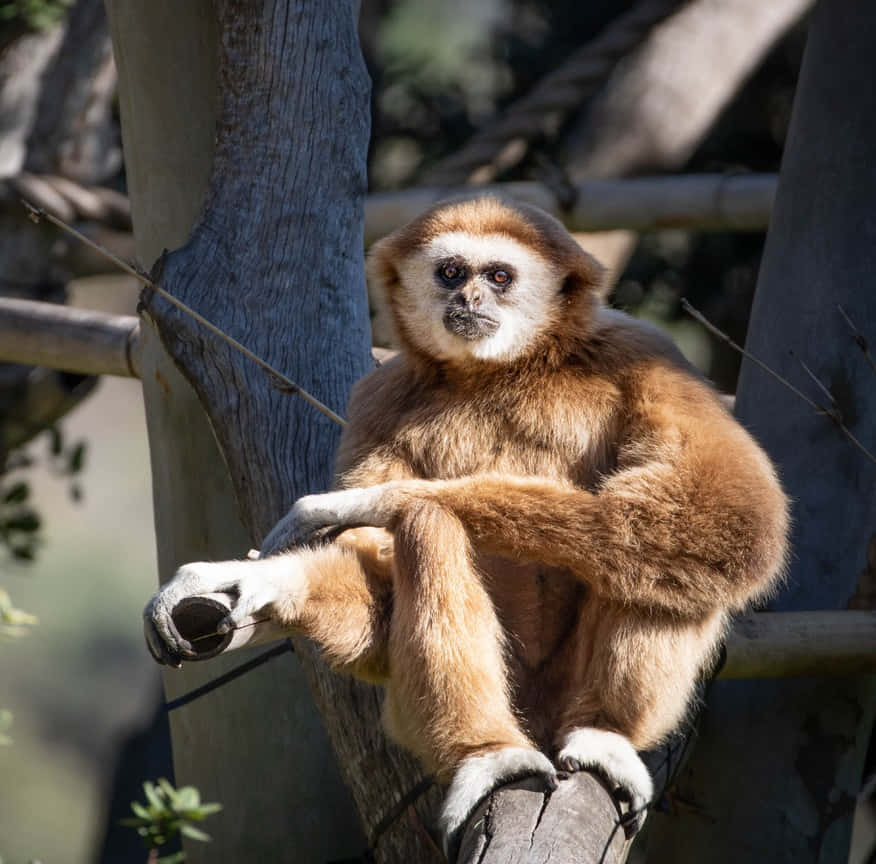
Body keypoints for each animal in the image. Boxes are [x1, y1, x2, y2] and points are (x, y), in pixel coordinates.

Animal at [144, 196, 789, 844]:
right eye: (451, 272)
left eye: (499, 276)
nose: (471, 297)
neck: (504, 371)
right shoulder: (377, 397)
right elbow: (377, 588)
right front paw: (261, 579)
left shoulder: (645, 354)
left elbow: (734, 513)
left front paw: (354, 504)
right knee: (431, 526)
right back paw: (489, 755)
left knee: (664, 547)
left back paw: (604, 733)